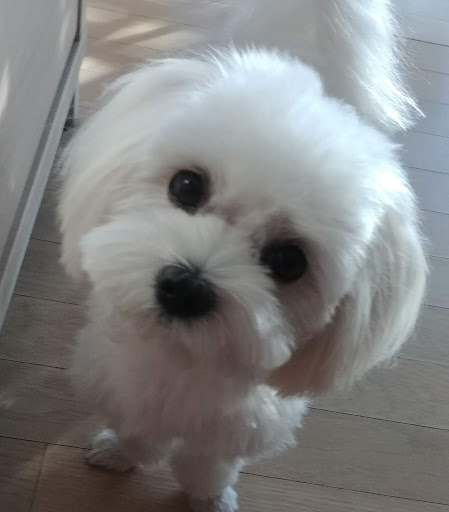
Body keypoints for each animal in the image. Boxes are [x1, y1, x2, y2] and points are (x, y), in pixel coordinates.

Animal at [59, 1, 427, 510]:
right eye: (186, 185)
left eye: (289, 261)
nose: (186, 286)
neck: (181, 359)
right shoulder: (122, 382)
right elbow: (137, 428)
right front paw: (120, 452)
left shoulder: (239, 423)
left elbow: (209, 464)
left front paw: (209, 498)